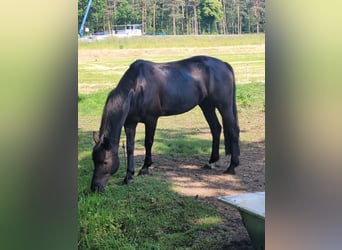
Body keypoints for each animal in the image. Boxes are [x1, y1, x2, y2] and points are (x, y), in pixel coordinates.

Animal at [91, 55, 240, 191]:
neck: (138, 87)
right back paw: (211, 161)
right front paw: (128, 177)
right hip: (207, 105)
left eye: (105, 162)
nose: (94, 188)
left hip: (224, 106)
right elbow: (130, 148)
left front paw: (145, 168)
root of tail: (224, 64)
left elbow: (148, 143)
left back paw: (232, 166)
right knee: (216, 128)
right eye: (94, 160)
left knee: (233, 130)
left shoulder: (151, 120)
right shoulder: (130, 123)